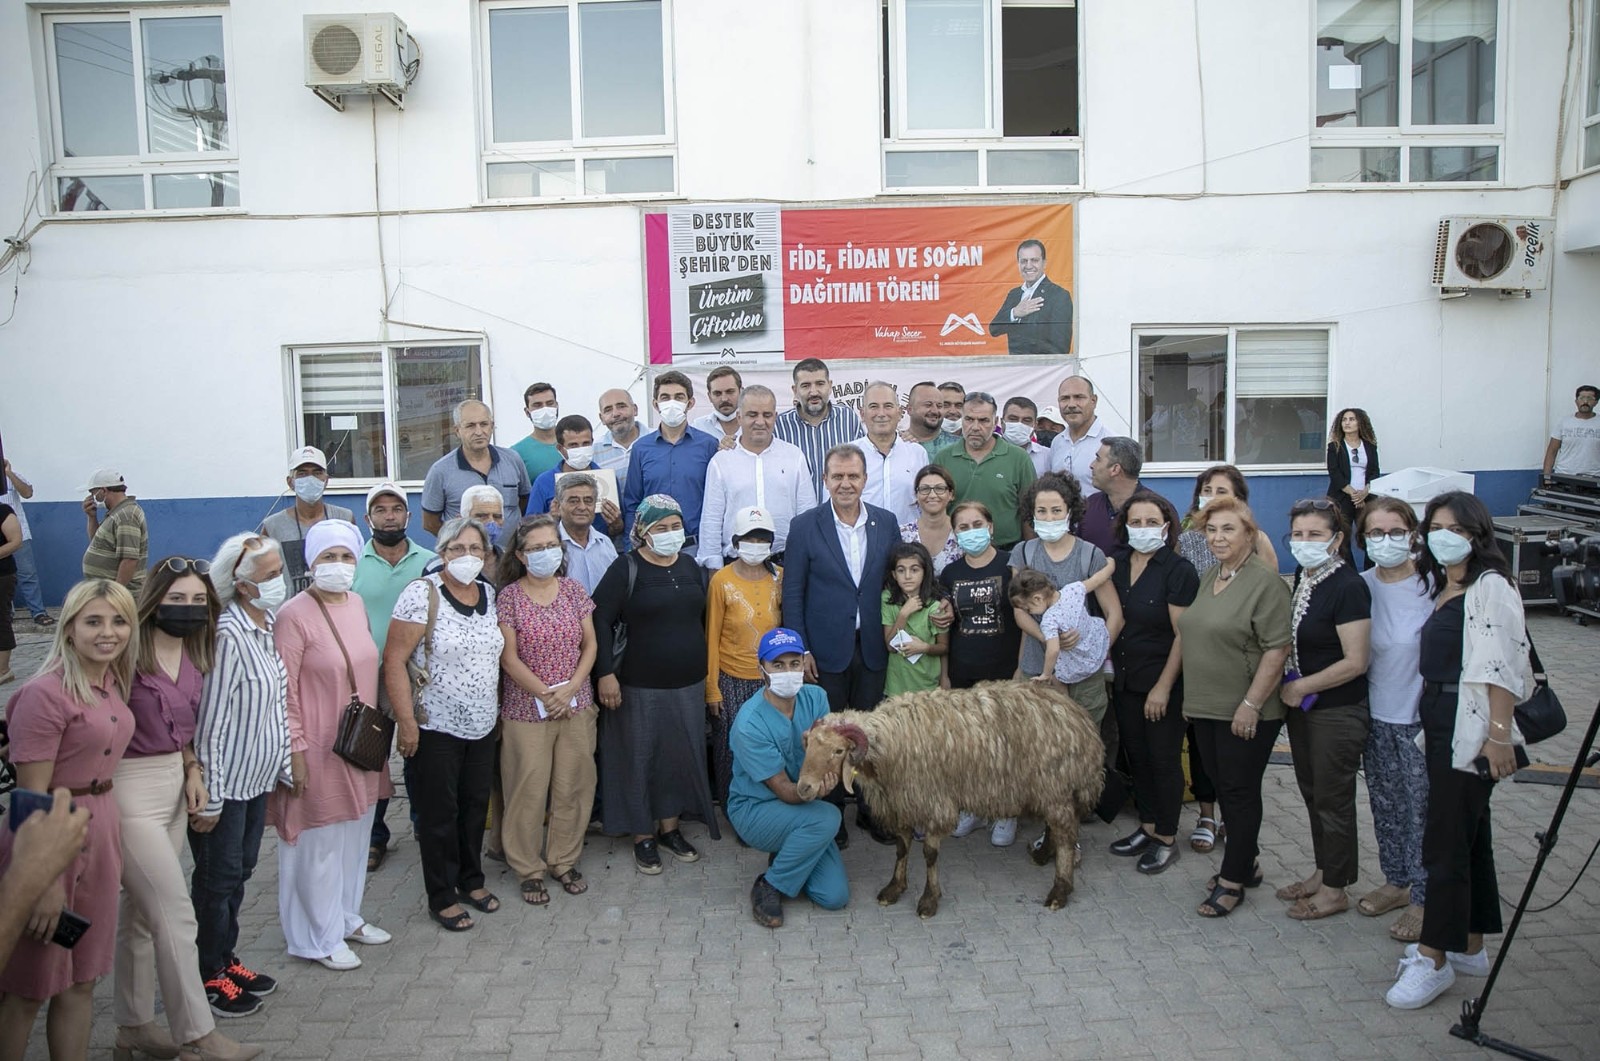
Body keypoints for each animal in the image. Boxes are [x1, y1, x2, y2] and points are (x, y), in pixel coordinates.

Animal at [793, 681, 1107, 921]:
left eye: (837, 751)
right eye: (808, 746)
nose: (804, 788)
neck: (893, 742)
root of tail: (1081, 719)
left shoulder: (933, 801)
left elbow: (929, 854)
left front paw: (928, 900)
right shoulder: (901, 801)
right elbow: (901, 849)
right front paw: (894, 888)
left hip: (1056, 785)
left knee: (1066, 833)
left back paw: (1060, 890)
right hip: (1050, 790)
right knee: (1058, 827)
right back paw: (1044, 856)